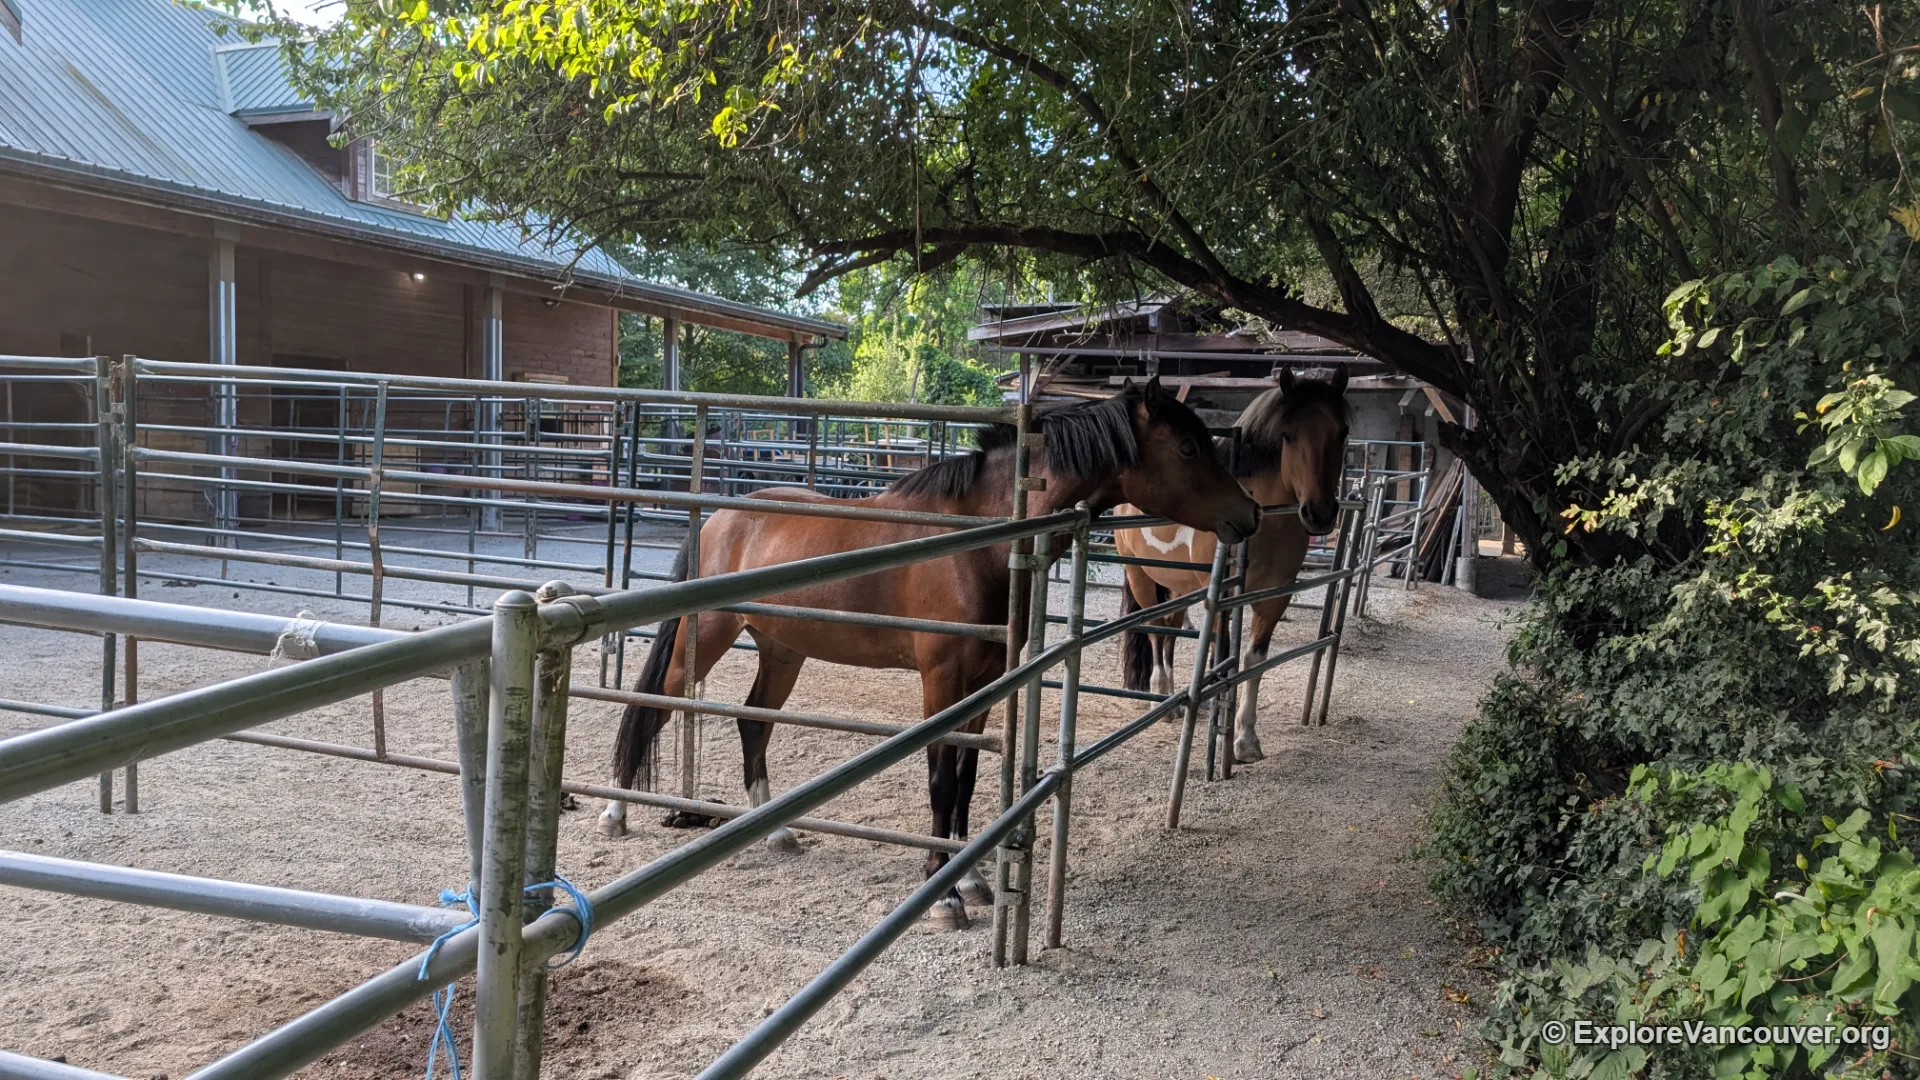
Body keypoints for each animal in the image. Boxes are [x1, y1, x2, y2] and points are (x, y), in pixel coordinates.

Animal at [596, 378, 1261, 928]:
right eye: (1188, 448)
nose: (1250, 515)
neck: (978, 545)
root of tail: (719, 520)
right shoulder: (941, 680)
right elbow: (942, 778)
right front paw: (942, 894)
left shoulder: (986, 681)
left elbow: (966, 779)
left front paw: (970, 877)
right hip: (704, 638)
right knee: (649, 704)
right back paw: (615, 815)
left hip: (782, 651)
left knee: (752, 723)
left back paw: (777, 834)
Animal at [1113, 368, 1351, 763]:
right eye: (1288, 434)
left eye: (1342, 432)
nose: (1319, 514)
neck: (1265, 523)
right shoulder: (1223, 600)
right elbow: (1225, 659)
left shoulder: (1273, 599)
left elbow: (1253, 662)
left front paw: (1245, 739)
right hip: (1140, 577)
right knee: (1155, 629)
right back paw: (1161, 699)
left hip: (1178, 586)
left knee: (1170, 630)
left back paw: (1172, 695)